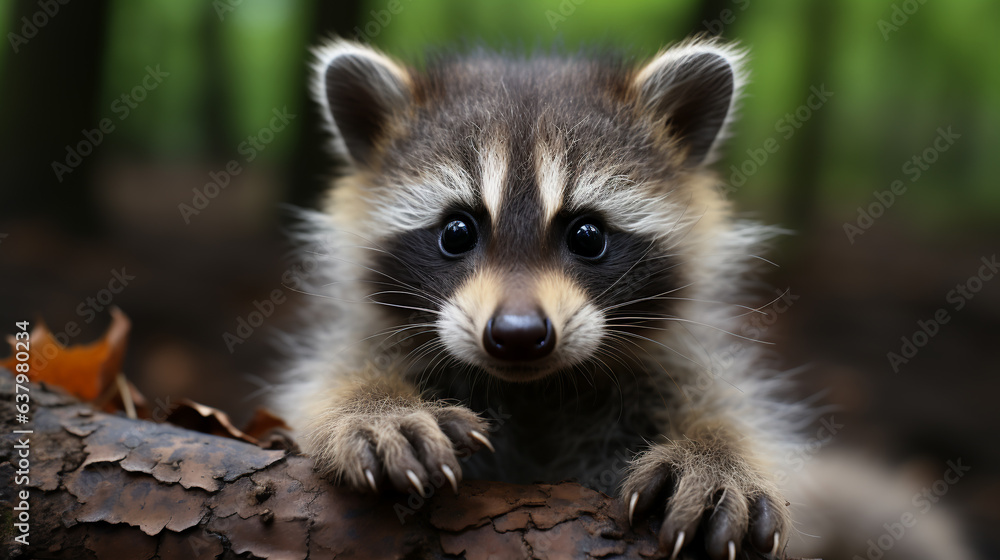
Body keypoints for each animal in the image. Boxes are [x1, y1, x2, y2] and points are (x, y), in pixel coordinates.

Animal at [272, 37, 968, 556]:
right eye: (457, 232)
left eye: (587, 234)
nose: (518, 336)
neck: (535, 390)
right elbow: (323, 385)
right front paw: (375, 405)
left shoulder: (677, 363)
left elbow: (732, 411)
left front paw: (717, 455)